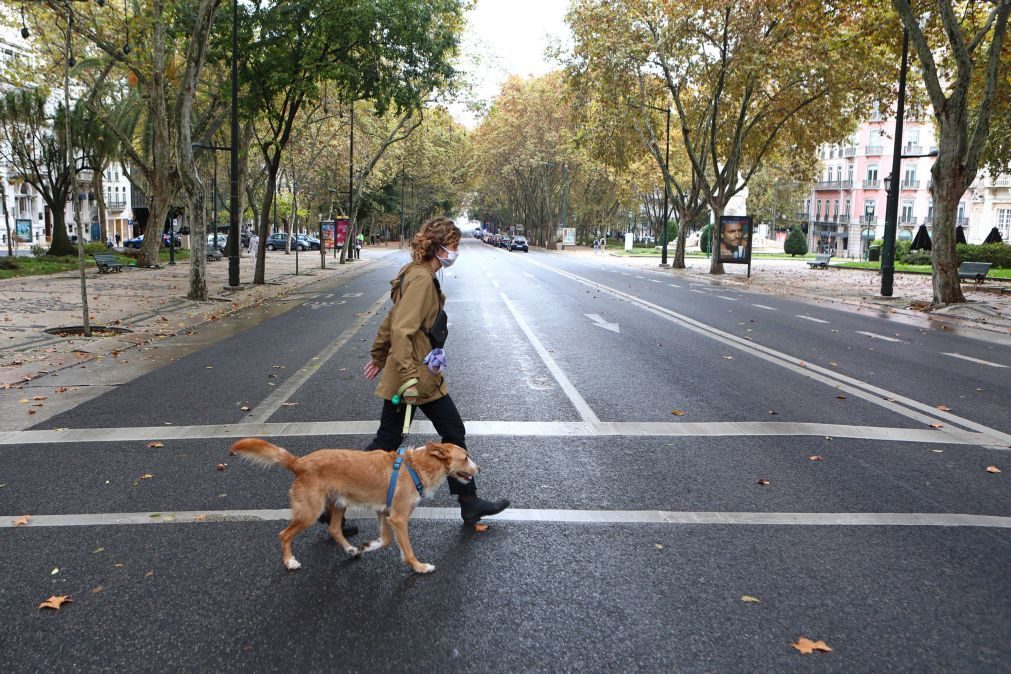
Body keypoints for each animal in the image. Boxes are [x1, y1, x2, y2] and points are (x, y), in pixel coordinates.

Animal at [231, 440, 479, 578]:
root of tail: (299, 463)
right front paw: (419, 567)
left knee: (333, 529)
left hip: (340, 504)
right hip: (309, 513)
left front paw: (367, 546)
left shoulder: (384, 513)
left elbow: (385, 541)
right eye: (466, 457)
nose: (479, 468)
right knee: (284, 534)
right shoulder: (398, 518)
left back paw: (351, 550)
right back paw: (289, 562)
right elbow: (407, 550)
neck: (415, 466)